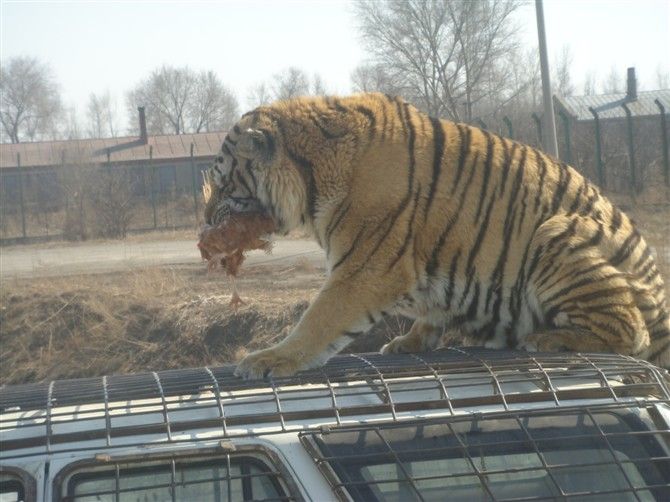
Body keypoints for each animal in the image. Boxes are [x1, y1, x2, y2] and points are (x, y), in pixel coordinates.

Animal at [203, 92, 670, 378]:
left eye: (224, 185)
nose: (205, 225)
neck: (314, 174)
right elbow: (432, 308)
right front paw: (412, 340)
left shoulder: (363, 268)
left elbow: (317, 320)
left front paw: (269, 358)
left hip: (555, 233)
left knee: (630, 333)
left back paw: (547, 338)